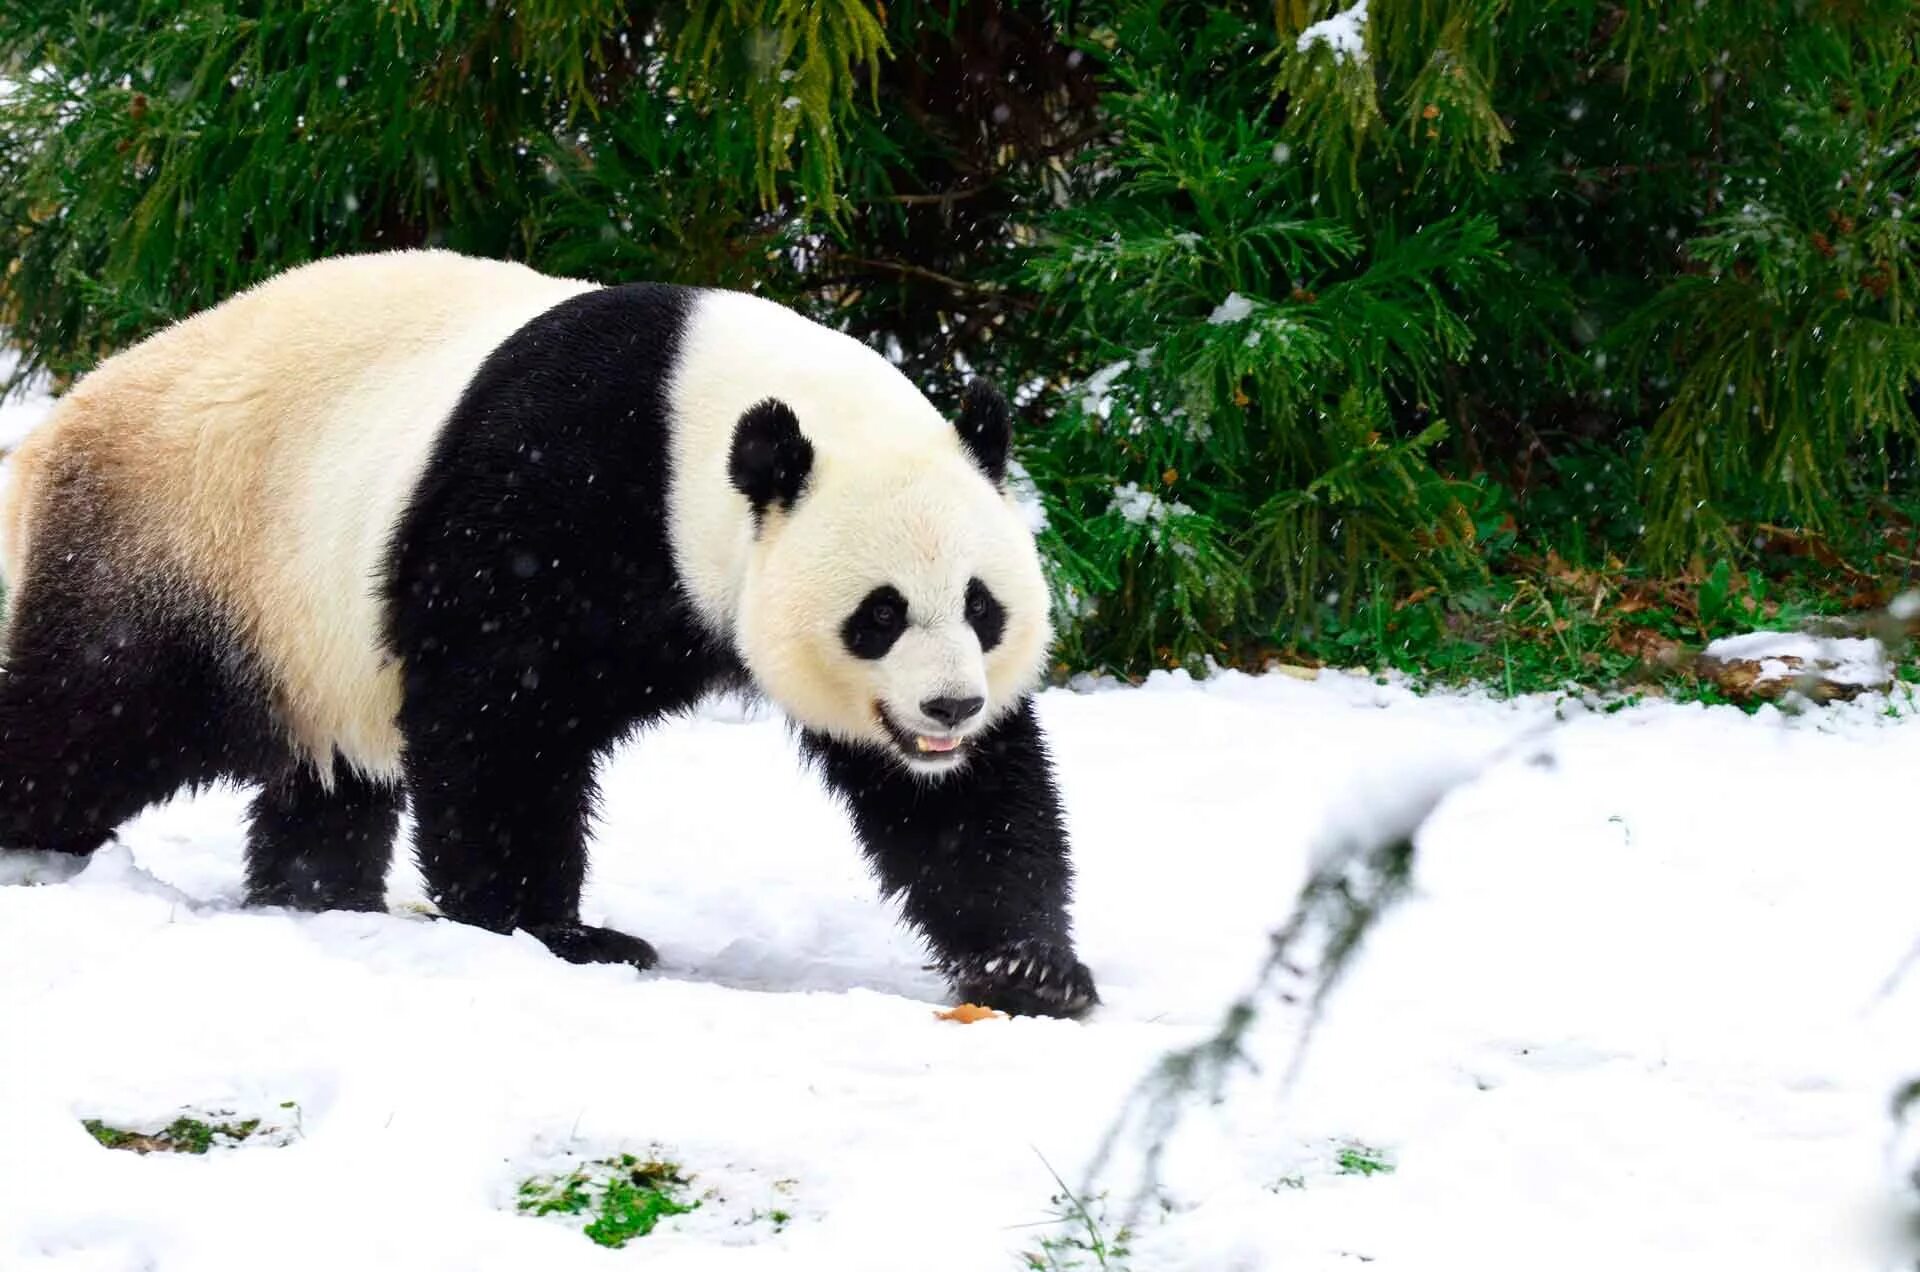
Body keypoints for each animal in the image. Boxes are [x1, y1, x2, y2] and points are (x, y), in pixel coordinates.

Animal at [0, 253, 1105, 1022]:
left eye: (982, 607)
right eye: (879, 613)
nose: (948, 706)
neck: (698, 421)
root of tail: (55, 430)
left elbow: (963, 802)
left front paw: (1031, 969)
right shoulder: (552, 495)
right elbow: (500, 724)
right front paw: (560, 936)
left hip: (307, 629)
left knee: (325, 779)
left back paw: (318, 896)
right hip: (190, 542)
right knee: (94, 713)